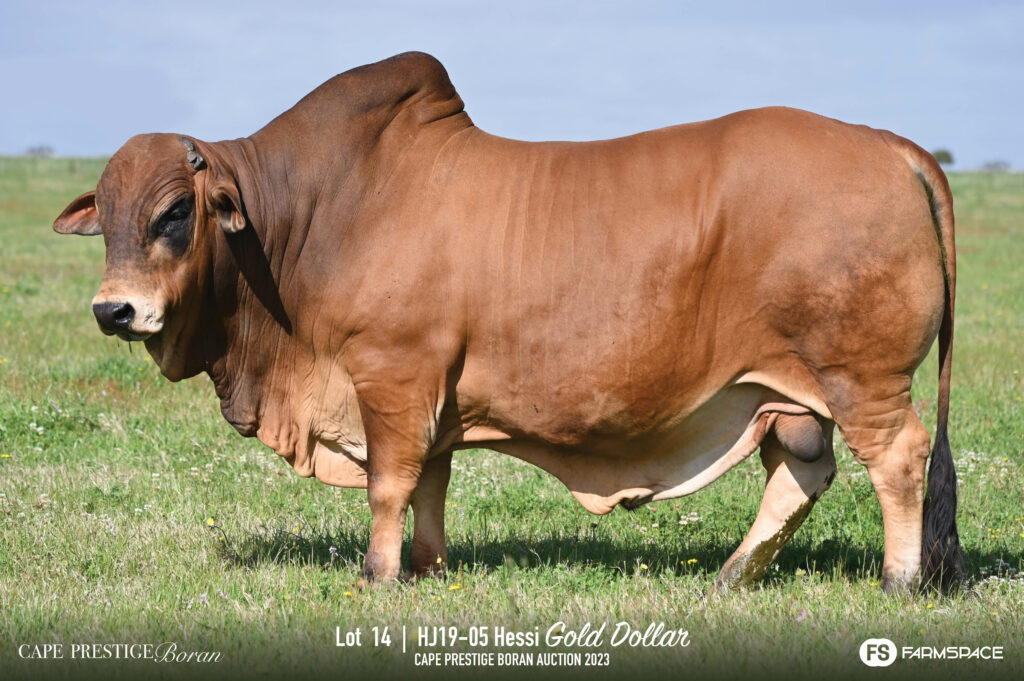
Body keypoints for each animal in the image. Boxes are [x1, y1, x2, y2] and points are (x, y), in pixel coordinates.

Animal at [53, 51, 961, 593]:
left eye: (176, 212)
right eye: (108, 218)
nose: (114, 309)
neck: (308, 222)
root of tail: (888, 143)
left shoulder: (392, 376)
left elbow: (390, 483)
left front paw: (377, 574)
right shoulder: (429, 398)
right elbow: (429, 482)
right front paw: (427, 566)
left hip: (862, 379)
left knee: (898, 459)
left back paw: (899, 577)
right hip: (786, 391)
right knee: (803, 471)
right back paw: (733, 574)